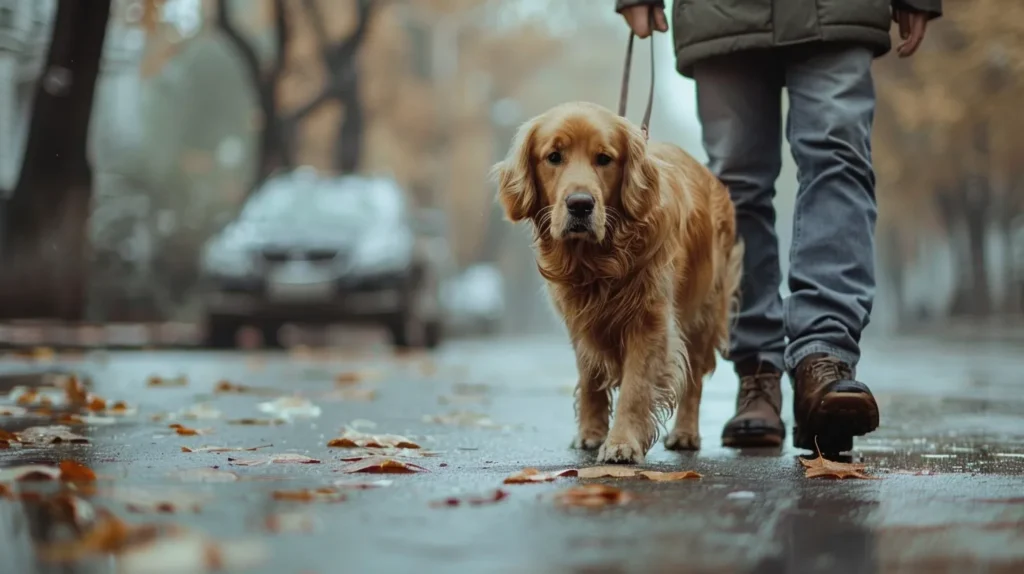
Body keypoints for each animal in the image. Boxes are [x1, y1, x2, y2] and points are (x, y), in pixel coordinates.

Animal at [491, 100, 741, 462]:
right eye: (554, 156)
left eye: (604, 159)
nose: (580, 205)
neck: (599, 260)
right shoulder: (580, 320)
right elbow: (590, 377)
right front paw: (591, 433)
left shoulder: (649, 320)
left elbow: (636, 387)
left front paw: (622, 442)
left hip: (703, 311)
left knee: (693, 376)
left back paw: (685, 433)